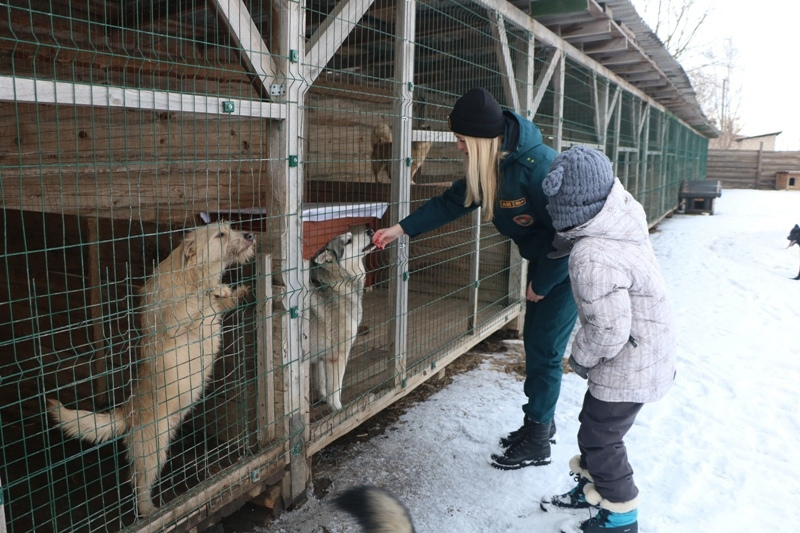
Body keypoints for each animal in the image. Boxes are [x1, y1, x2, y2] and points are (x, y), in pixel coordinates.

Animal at [48, 221, 255, 516]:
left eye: (230, 228)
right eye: (220, 234)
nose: (250, 235)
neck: (189, 271)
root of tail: (127, 412)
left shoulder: (213, 310)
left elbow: (218, 303)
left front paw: (236, 292)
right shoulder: (172, 319)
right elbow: (194, 301)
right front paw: (216, 290)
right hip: (152, 449)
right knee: (138, 482)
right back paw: (148, 510)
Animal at [310, 227, 378, 410]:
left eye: (351, 236)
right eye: (348, 241)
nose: (370, 230)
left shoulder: (322, 356)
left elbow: (322, 381)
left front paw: (323, 398)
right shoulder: (337, 355)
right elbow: (335, 389)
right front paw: (338, 410)